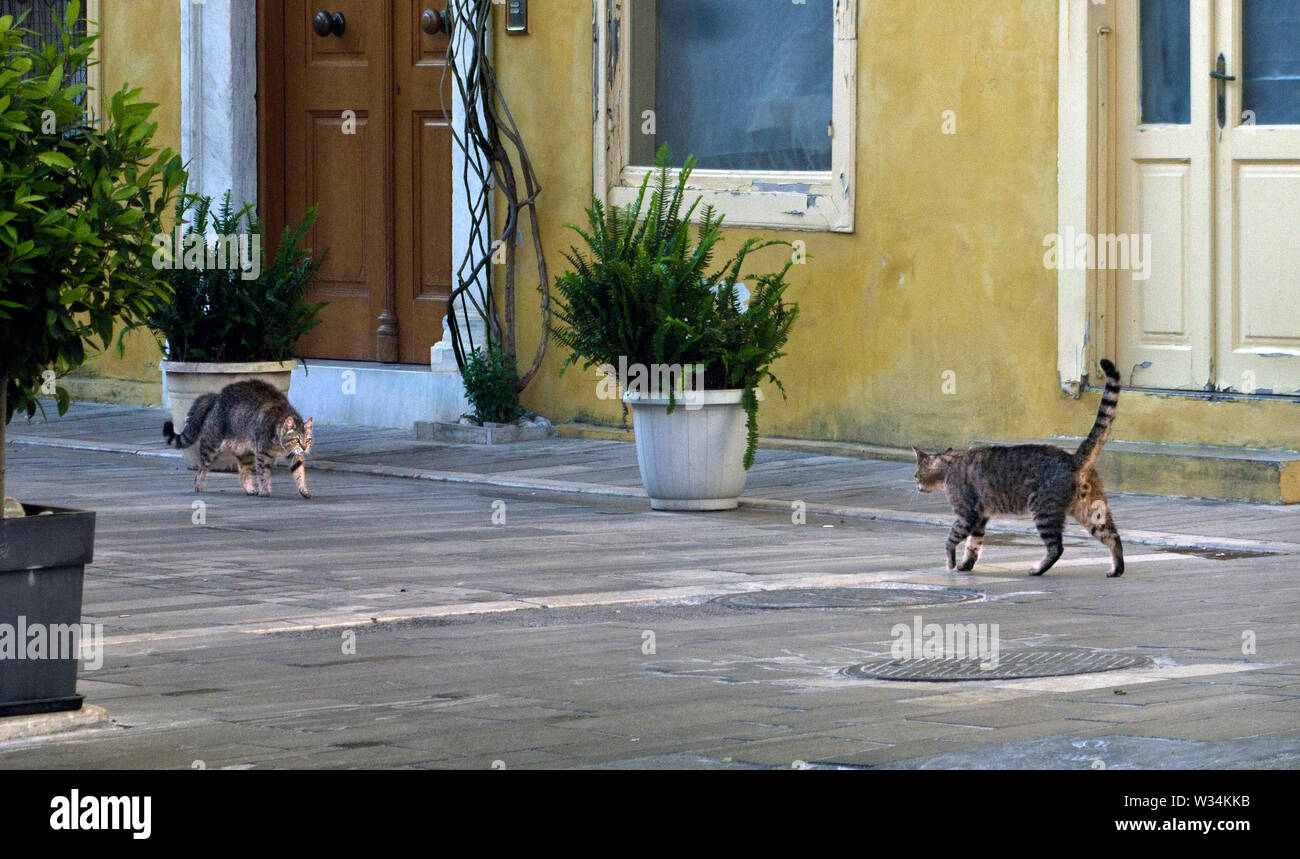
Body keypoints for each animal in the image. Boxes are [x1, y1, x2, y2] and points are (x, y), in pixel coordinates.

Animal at [163, 379, 315, 499]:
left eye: (307, 440)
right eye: (297, 440)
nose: (304, 448)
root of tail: (217, 396)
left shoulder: (293, 454)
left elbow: (299, 471)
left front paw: (304, 489)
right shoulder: (263, 453)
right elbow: (264, 473)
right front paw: (265, 490)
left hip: (244, 452)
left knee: (243, 473)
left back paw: (249, 488)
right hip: (211, 447)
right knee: (200, 471)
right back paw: (198, 486)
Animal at [909, 356, 1123, 576]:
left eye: (916, 476)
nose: (916, 485)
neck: (949, 466)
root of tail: (1073, 459)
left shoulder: (967, 515)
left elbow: (951, 539)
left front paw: (951, 563)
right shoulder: (980, 518)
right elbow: (973, 545)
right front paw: (966, 565)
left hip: (1043, 510)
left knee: (1057, 547)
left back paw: (1037, 569)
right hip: (1091, 511)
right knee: (1113, 537)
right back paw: (1117, 569)